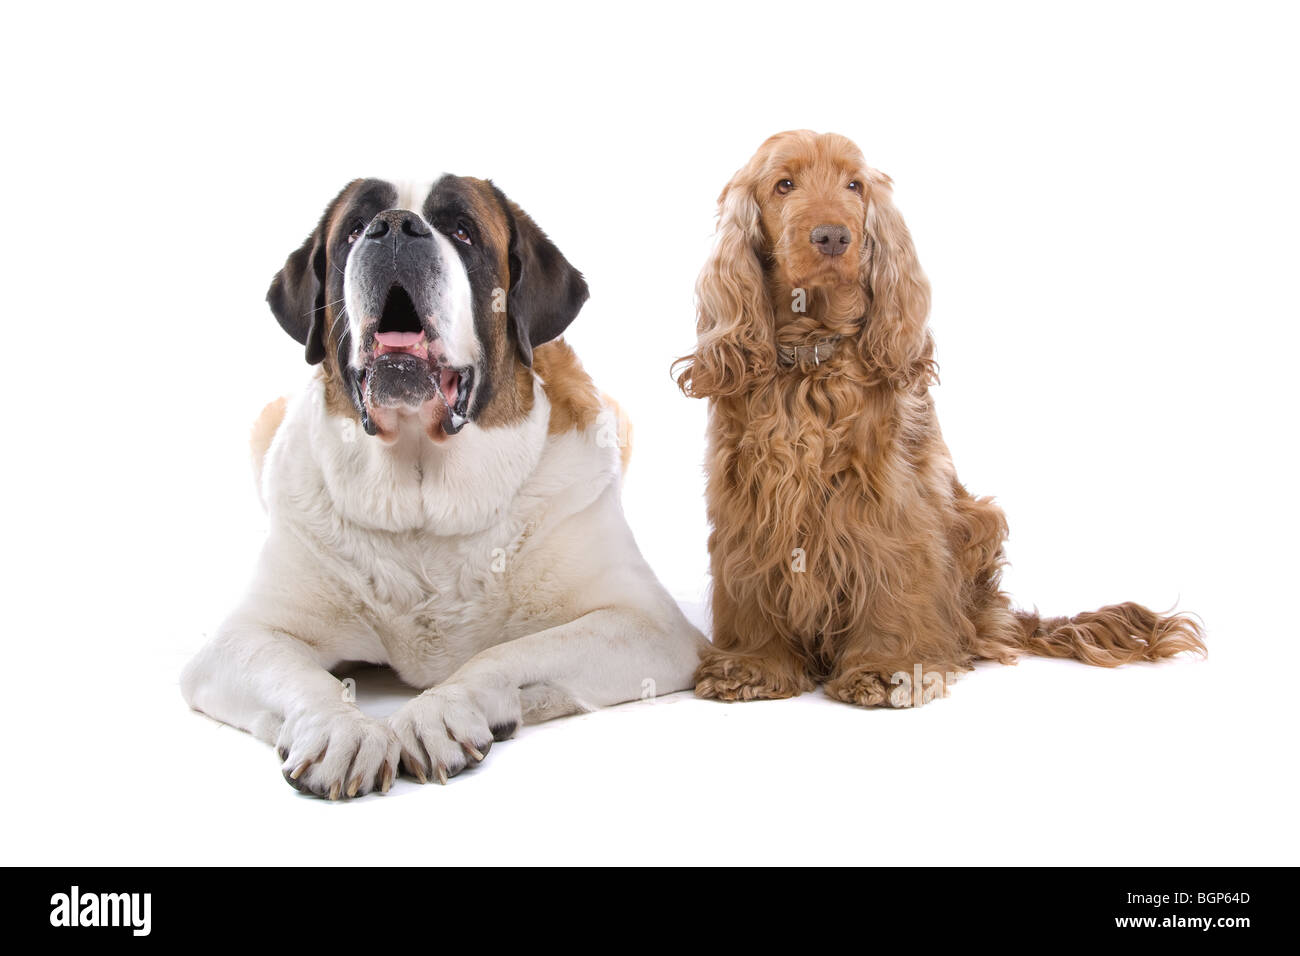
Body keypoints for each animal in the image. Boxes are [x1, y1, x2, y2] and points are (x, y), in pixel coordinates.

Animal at [179, 178, 707, 801]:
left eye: (462, 231)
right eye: (353, 230)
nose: (392, 227)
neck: (424, 499)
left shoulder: (649, 628)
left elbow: (508, 652)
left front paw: (441, 711)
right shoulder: (237, 641)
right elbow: (303, 677)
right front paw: (340, 731)